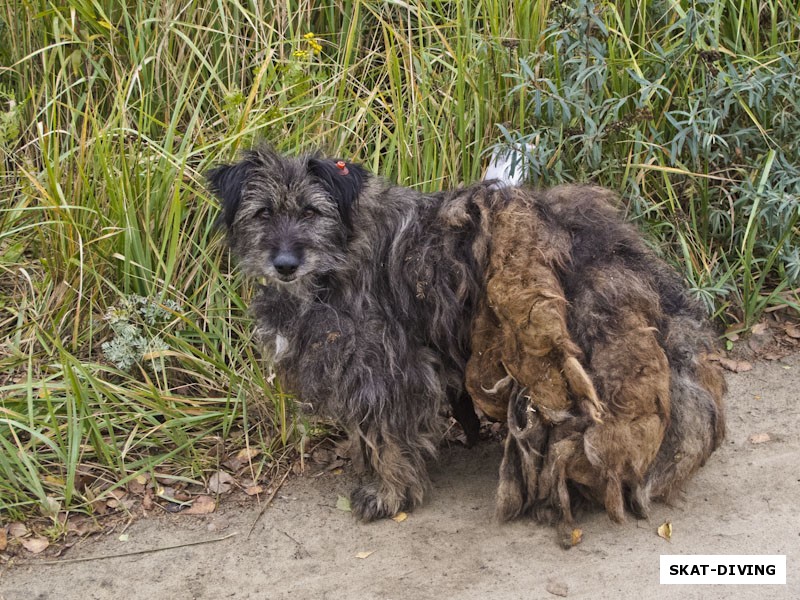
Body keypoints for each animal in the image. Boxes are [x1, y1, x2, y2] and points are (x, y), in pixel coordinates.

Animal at [209, 148, 728, 528]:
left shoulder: (388, 367)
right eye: (262, 213)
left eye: (311, 211)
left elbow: (384, 434)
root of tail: (619, 245)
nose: (284, 264)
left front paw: (389, 492)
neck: (343, 248)